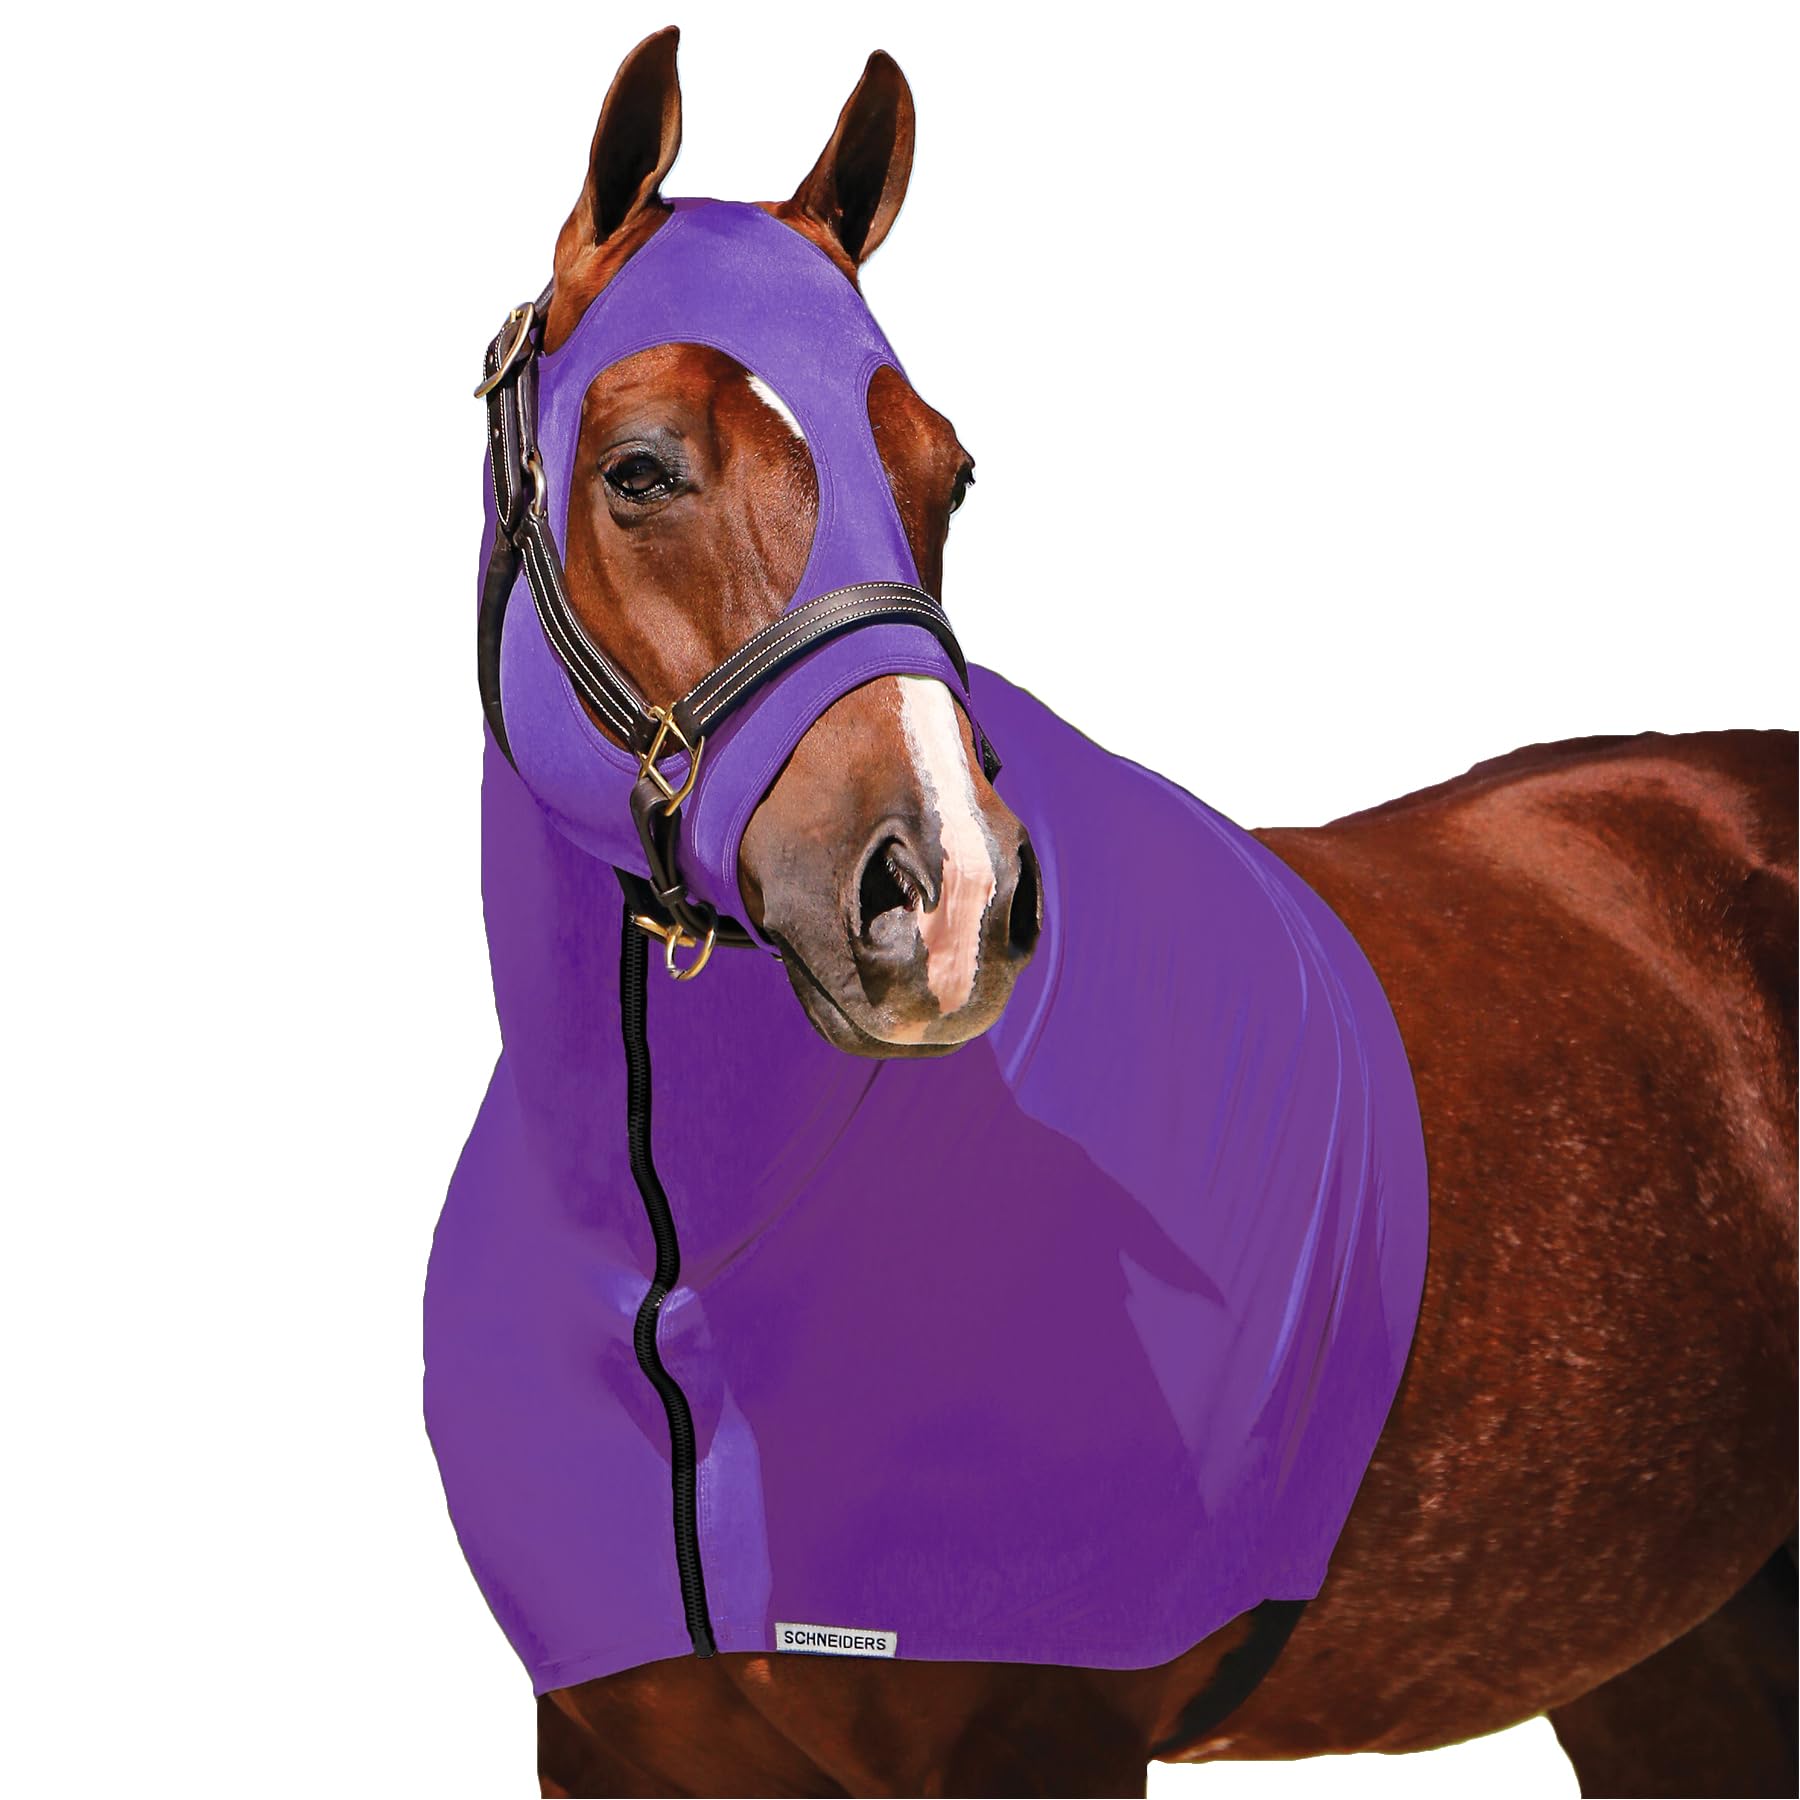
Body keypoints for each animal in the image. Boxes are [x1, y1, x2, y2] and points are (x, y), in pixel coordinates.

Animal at [434, 30, 1797, 1798]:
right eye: (641, 469)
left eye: (945, 475)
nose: (945, 895)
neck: (691, 1265)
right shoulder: (614, 1750)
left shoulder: (1043, 1737)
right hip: (1675, 1656)